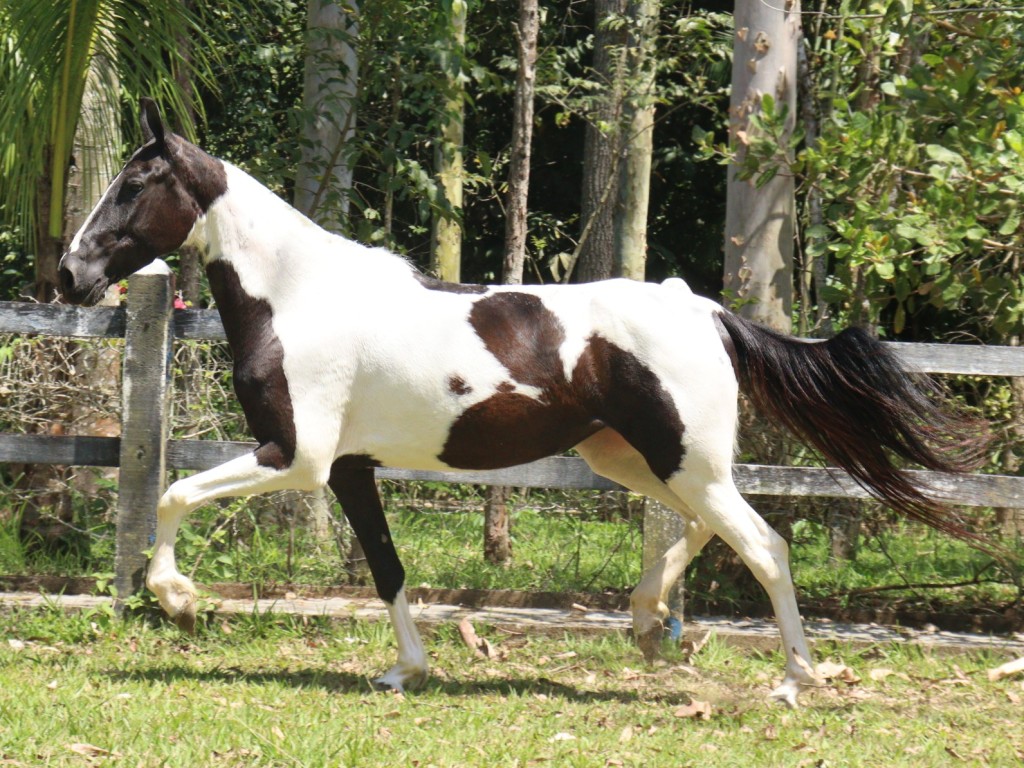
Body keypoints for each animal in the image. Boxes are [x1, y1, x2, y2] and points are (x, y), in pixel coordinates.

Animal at [59, 99, 987, 708]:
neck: (297, 297)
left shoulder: (299, 458)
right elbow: (388, 569)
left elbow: (173, 494)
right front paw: (407, 671)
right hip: (632, 457)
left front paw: (178, 601)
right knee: (699, 528)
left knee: (764, 546)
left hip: (683, 461)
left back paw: (795, 680)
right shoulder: (350, 468)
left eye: (134, 184)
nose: (70, 276)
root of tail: (703, 308)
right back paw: (648, 623)